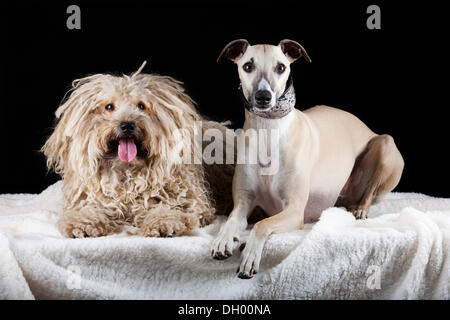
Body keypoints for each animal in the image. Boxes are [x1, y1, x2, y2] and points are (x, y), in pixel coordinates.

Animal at [41, 63, 236, 238]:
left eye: (141, 106)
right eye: (109, 106)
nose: (127, 125)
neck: (128, 173)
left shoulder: (192, 203)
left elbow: (171, 209)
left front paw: (163, 222)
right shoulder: (92, 198)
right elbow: (89, 210)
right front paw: (83, 224)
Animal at [210, 38, 404, 278]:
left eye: (280, 67)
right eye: (248, 66)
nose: (264, 97)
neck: (269, 133)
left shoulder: (295, 211)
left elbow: (262, 224)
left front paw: (249, 255)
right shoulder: (243, 202)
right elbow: (231, 221)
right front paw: (223, 240)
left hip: (384, 144)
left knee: (369, 191)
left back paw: (361, 209)